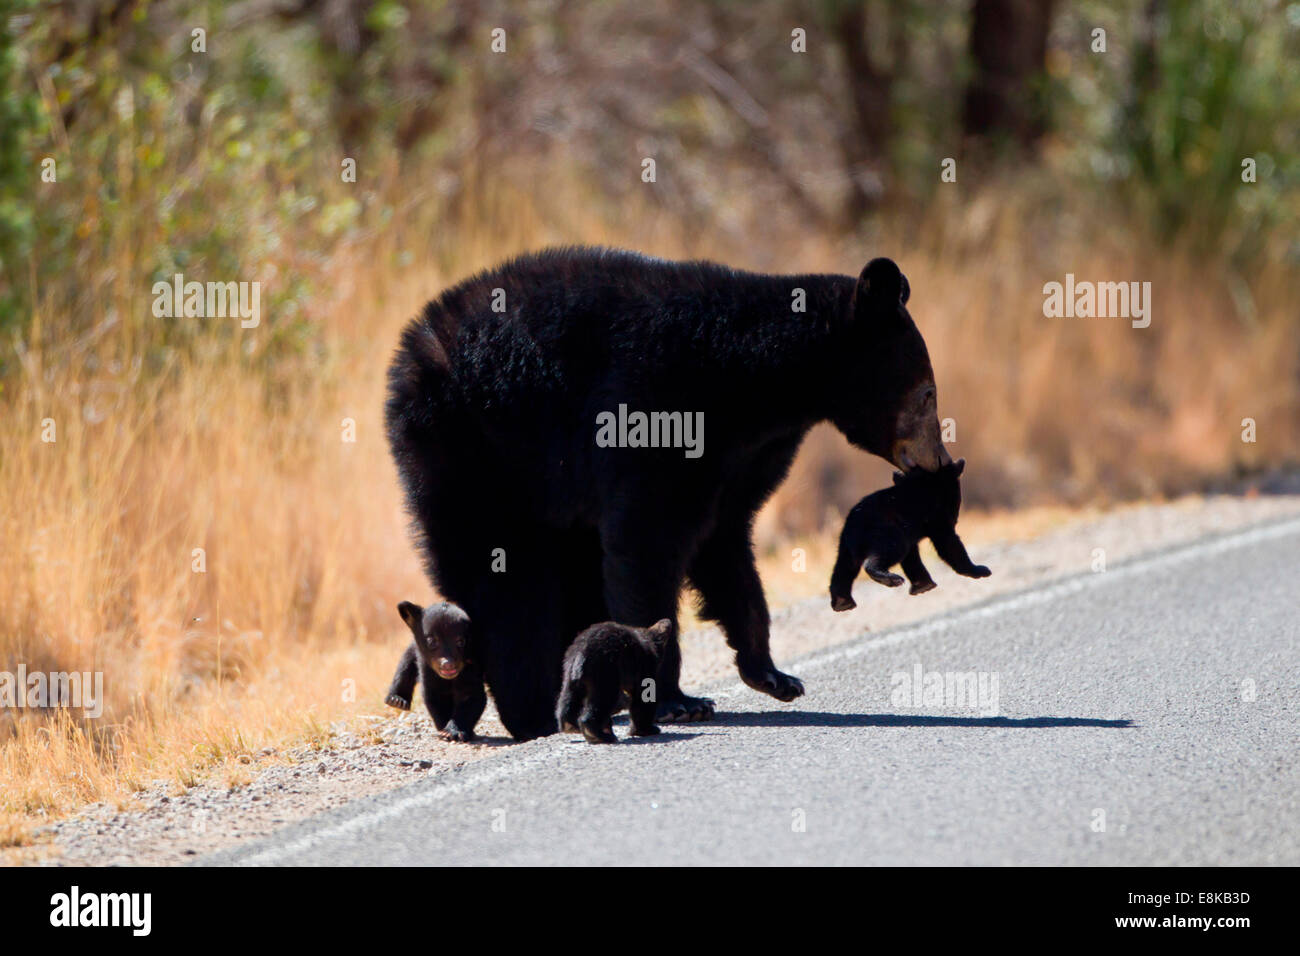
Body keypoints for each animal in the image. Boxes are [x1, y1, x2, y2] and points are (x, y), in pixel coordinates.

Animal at [387, 600, 488, 743]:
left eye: (460, 641)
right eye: (432, 641)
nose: (448, 664)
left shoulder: (472, 667)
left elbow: (471, 697)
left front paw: (454, 731)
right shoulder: (427, 670)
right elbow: (435, 697)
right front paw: (444, 730)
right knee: (405, 665)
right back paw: (396, 700)